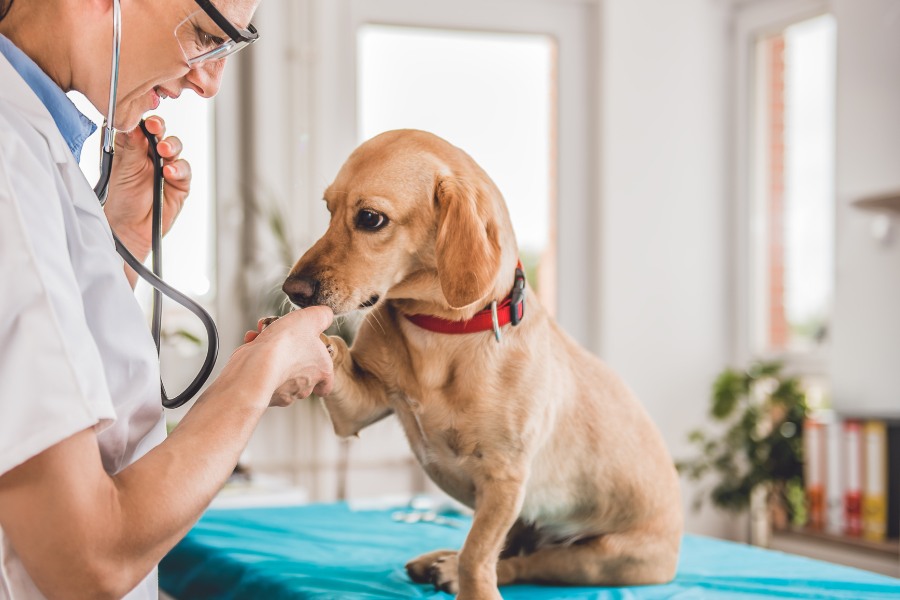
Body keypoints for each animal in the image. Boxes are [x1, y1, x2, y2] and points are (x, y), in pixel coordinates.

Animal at [282, 129, 684, 596]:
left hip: (601, 559)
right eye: (328, 209)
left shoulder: (504, 480)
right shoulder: (358, 410)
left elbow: (477, 555)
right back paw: (440, 561)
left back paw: (452, 570)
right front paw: (299, 340)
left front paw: (471, 585)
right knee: (508, 553)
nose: (293, 290)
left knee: (523, 562)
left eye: (370, 218)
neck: (439, 333)